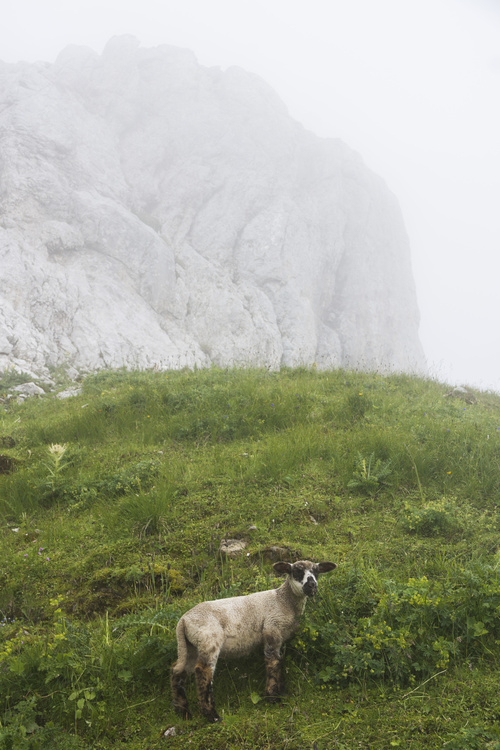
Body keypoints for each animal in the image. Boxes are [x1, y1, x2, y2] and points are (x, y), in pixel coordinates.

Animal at [171, 559, 337, 722]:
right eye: (297, 571)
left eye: (317, 571)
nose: (312, 585)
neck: (283, 600)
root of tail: (183, 621)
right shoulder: (272, 628)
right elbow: (273, 662)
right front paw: (272, 696)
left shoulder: (280, 636)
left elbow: (279, 661)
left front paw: (281, 692)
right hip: (209, 639)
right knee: (202, 671)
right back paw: (211, 715)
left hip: (190, 646)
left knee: (178, 672)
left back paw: (183, 712)